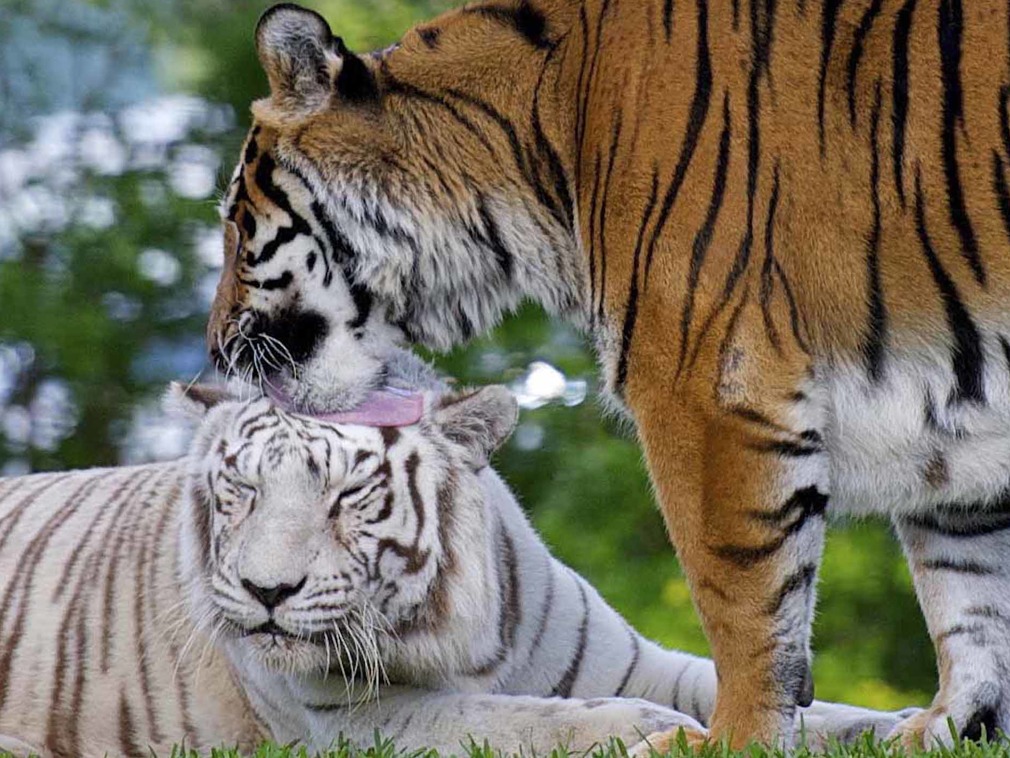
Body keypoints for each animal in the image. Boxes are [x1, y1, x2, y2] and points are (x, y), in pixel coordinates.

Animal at [0, 361, 910, 757]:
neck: (453, 632)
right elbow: (513, 717)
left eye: (347, 495)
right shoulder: (349, 721)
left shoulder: (632, 659)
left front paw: (901, 724)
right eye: (243, 492)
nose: (266, 591)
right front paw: (642, 731)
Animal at [204, 0, 1010, 748]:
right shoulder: (944, 419)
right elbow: (967, 594)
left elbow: (741, 600)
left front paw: (732, 741)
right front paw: (952, 726)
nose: (216, 348)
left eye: (238, 226)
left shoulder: (707, 389)